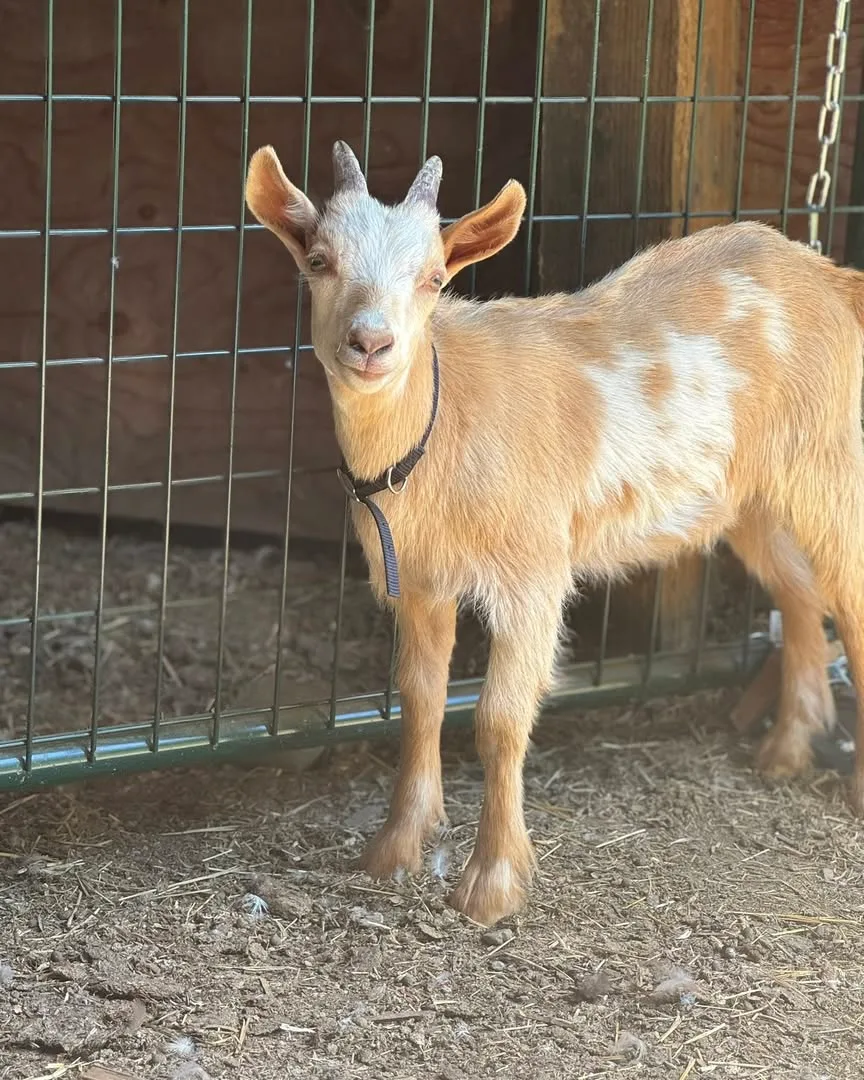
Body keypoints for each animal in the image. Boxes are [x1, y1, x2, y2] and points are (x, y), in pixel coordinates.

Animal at [246, 140, 864, 926]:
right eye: (320, 260)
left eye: (434, 277)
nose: (370, 343)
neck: (444, 426)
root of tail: (834, 278)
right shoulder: (420, 579)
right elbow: (419, 699)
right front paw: (394, 849)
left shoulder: (531, 570)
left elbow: (500, 719)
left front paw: (492, 884)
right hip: (751, 496)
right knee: (799, 589)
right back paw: (785, 748)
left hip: (827, 459)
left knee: (850, 594)